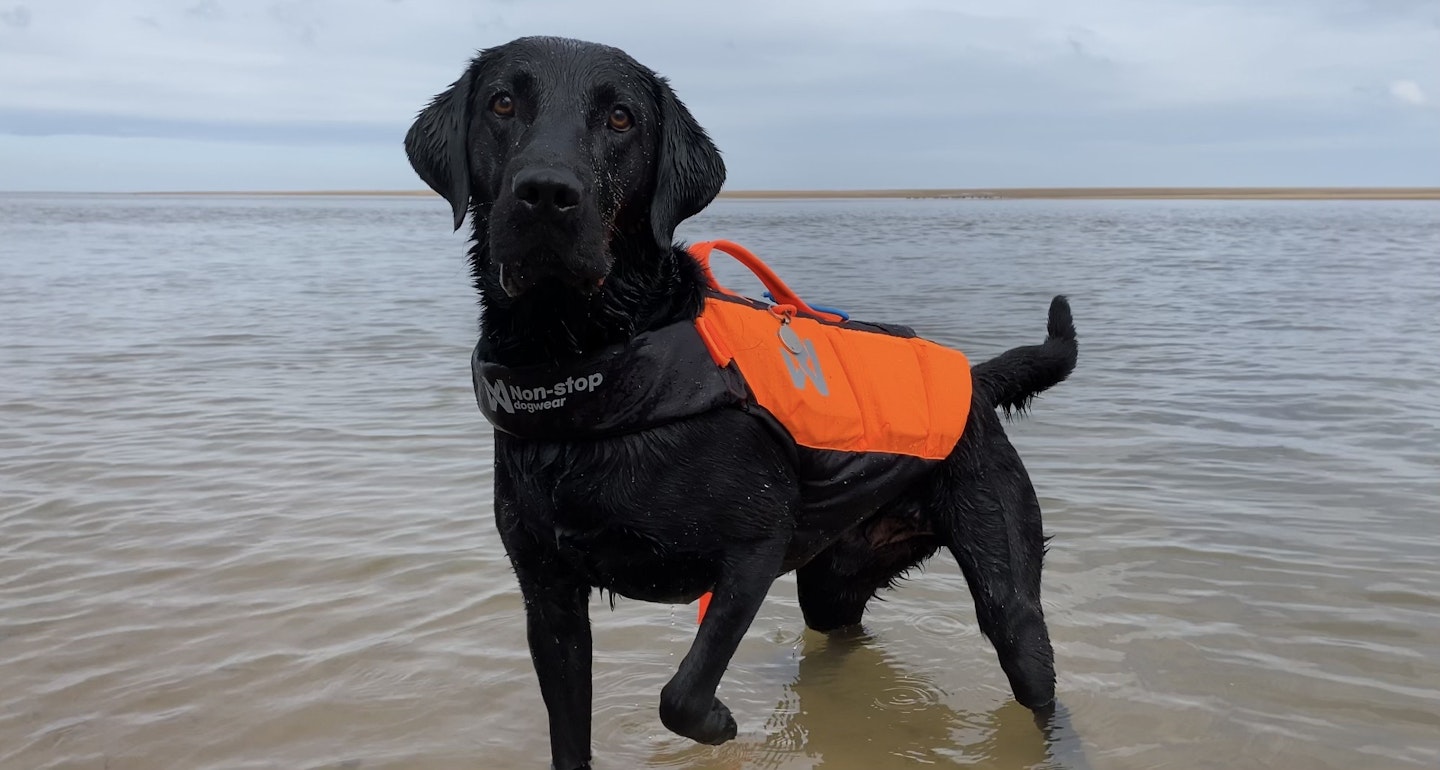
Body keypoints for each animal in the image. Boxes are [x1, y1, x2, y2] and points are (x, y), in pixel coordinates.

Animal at [400, 37, 1077, 770]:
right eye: (502, 103)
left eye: (621, 119)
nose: (546, 193)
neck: (596, 369)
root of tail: (974, 381)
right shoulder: (547, 596)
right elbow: (568, 733)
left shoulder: (755, 546)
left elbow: (682, 693)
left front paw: (720, 723)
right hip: (835, 576)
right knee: (841, 635)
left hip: (1003, 577)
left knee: (1034, 671)